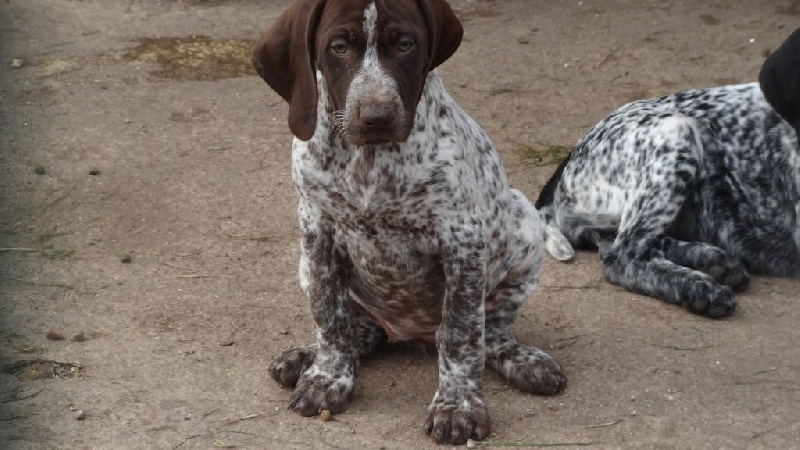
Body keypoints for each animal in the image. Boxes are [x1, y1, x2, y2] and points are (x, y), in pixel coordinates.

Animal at [251, 0, 566, 445]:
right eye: (339, 47)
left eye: (404, 44)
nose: (377, 117)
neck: (370, 160)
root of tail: (411, 332)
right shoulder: (317, 229)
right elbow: (329, 316)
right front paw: (327, 377)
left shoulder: (461, 240)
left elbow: (461, 333)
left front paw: (457, 406)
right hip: (306, 265)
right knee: (360, 328)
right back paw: (306, 356)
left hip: (524, 226)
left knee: (491, 332)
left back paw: (523, 360)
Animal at [536, 28, 800, 318]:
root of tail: (571, 156)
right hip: (675, 134)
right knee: (622, 256)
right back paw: (699, 286)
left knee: (617, 242)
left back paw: (711, 260)